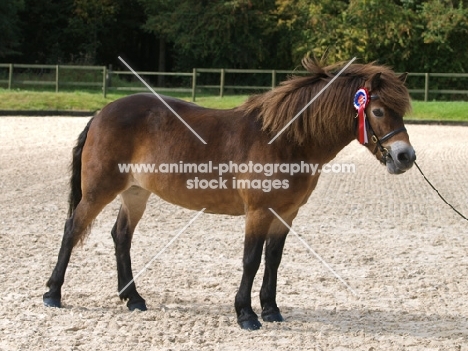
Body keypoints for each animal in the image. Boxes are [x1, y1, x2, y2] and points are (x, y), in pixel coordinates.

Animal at [44, 57, 414, 330]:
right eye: (378, 111)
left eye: (401, 111)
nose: (405, 156)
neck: (285, 140)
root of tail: (101, 113)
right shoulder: (259, 212)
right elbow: (251, 260)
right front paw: (246, 315)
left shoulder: (286, 213)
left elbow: (274, 259)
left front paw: (271, 309)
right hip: (100, 190)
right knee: (72, 229)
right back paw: (53, 293)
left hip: (135, 192)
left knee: (121, 236)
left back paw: (133, 298)